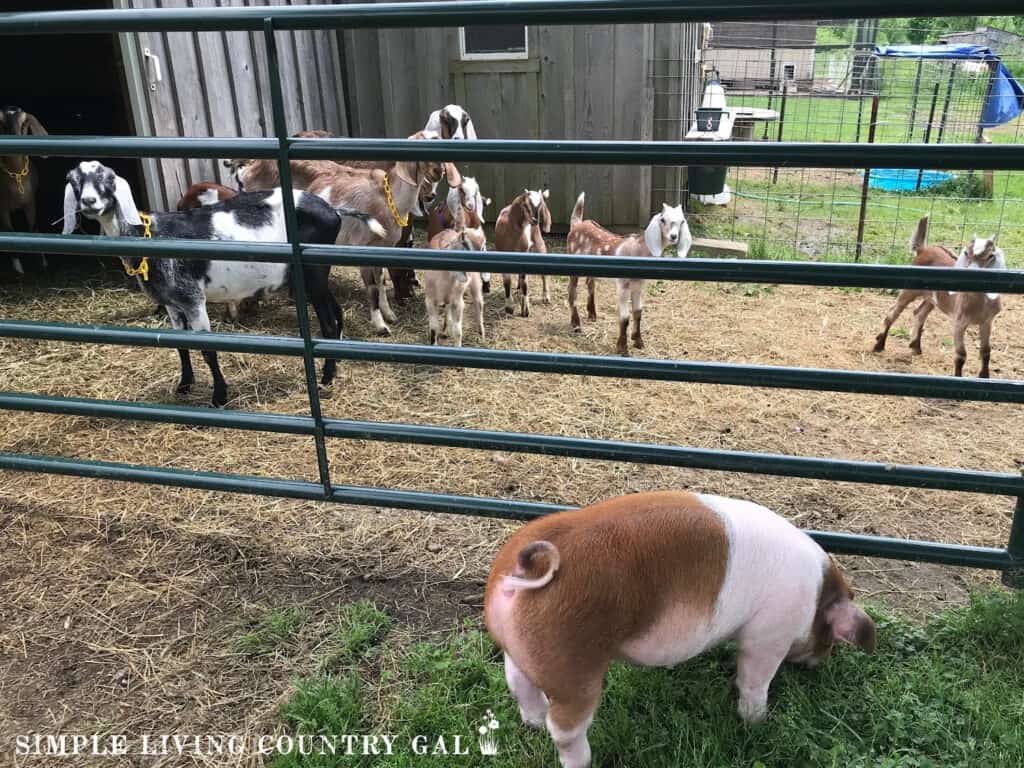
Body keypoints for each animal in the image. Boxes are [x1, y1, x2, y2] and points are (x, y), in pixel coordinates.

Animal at [0, 107, 47, 274]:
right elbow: (9, 231)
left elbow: (33, 228)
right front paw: (18, 268)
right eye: (2, 124)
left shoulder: (31, 202)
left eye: (24, 124)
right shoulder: (2, 208)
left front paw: (42, 262)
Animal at [64, 162, 385, 409]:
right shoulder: (172, 302)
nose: (90, 203)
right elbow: (179, 346)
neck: (148, 234)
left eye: (107, 180)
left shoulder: (193, 298)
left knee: (328, 323)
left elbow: (208, 349)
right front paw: (184, 385)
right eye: (76, 181)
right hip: (314, 274)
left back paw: (326, 378)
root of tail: (334, 211)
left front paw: (219, 396)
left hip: (313, 271)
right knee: (336, 314)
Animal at [493, 188, 552, 317]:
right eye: (525, 204)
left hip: (539, 243)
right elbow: (507, 282)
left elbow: (525, 283)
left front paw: (525, 309)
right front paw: (509, 307)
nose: (535, 220)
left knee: (543, 274)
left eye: (540, 204)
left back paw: (546, 297)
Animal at [565, 195, 692, 358]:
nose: (673, 236)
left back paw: (592, 314)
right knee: (572, 291)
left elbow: (638, 313)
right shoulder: (623, 285)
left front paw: (638, 341)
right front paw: (623, 348)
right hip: (572, 264)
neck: (639, 250)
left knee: (590, 283)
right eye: (663, 219)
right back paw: (576, 324)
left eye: (682, 221)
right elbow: (624, 318)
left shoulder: (639, 285)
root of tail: (577, 224)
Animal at [872, 215, 1007, 376]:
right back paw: (879, 346)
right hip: (909, 290)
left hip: (932, 299)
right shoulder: (959, 322)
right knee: (892, 312)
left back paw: (915, 347)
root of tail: (923, 249)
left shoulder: (987, 321)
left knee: (919, 313)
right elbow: (961, 354)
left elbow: (986, 351)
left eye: (991, 255)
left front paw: (984, 376)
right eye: (966, 253)